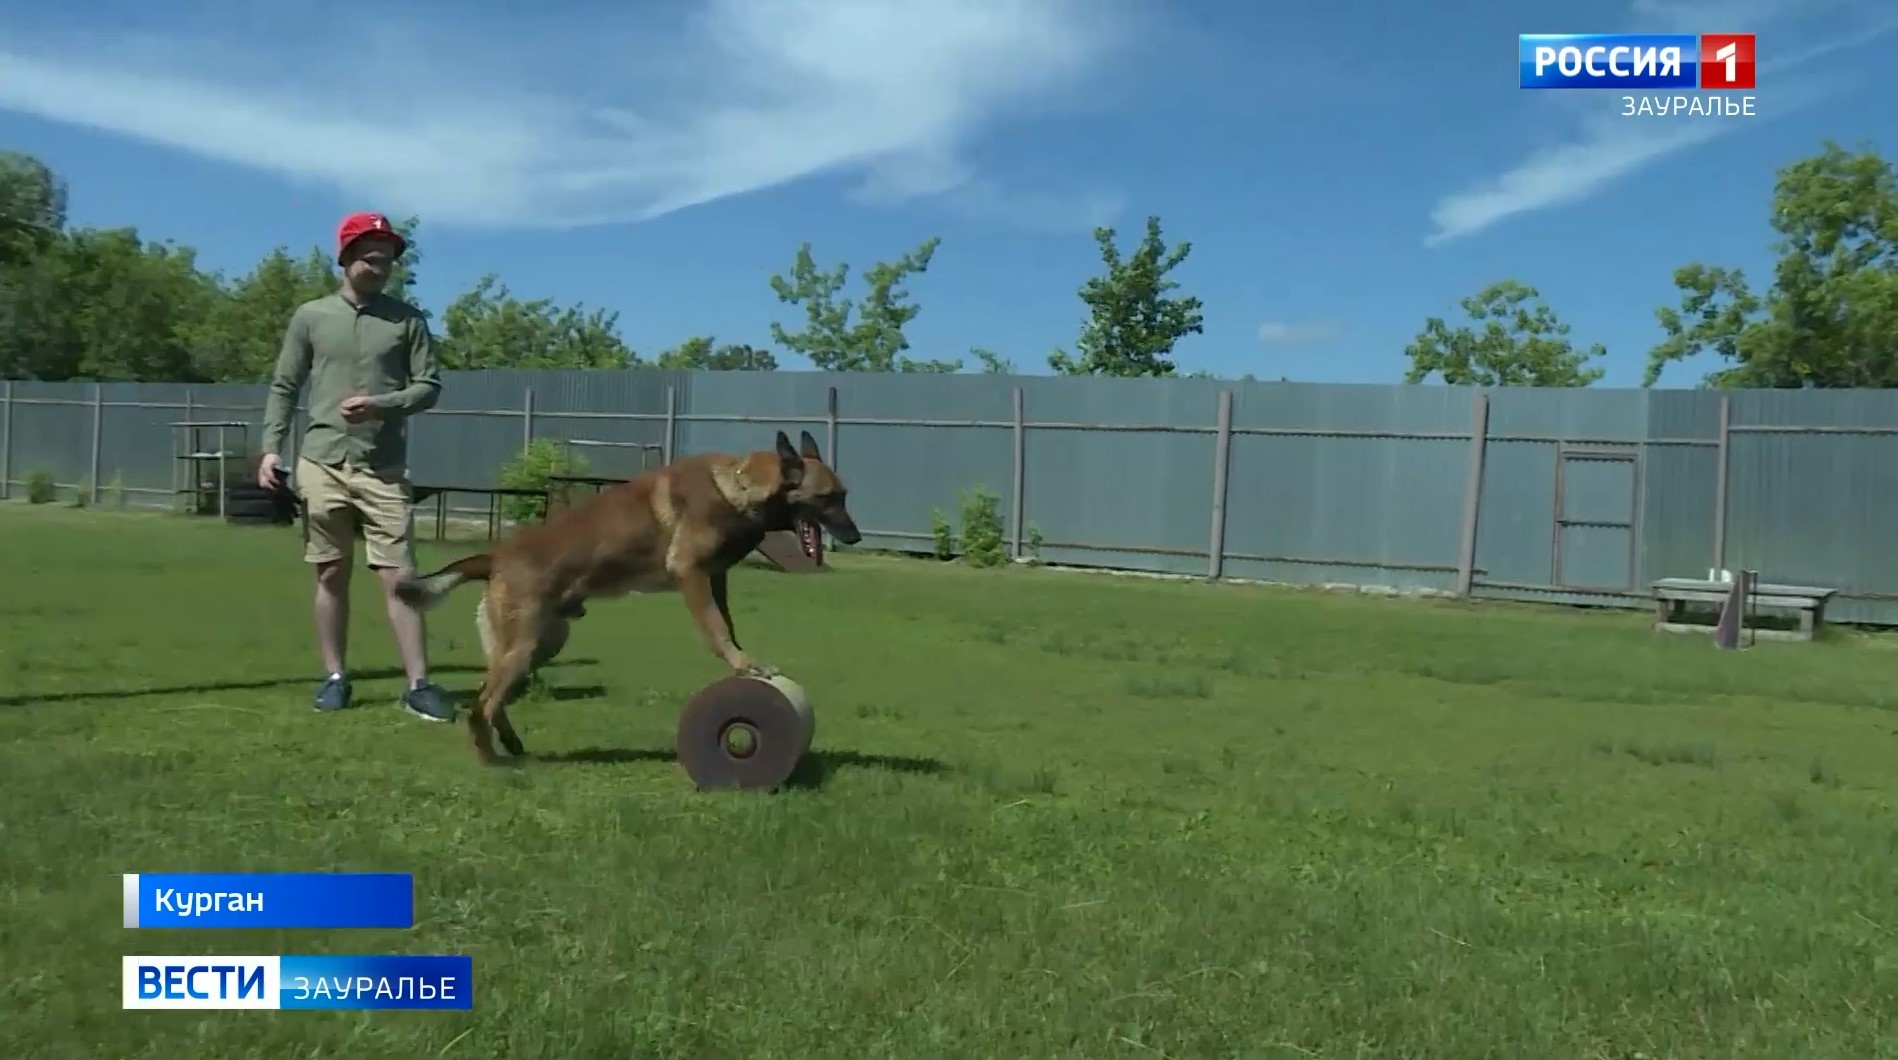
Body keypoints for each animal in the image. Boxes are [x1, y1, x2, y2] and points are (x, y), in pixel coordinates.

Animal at [396, 427, 865, 767]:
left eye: (845, 496)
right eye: (827, 498)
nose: (856, 537)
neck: (738, 487)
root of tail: (497, 555)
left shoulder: (716, 579)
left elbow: (728, 626)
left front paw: (742, 663)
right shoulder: (691, 574)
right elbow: (716, 629)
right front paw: (742, 663)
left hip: (538, 646)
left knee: (487, 698)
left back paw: (510, 746)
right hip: (524, 646)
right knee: (480, 704)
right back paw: (491, 760)